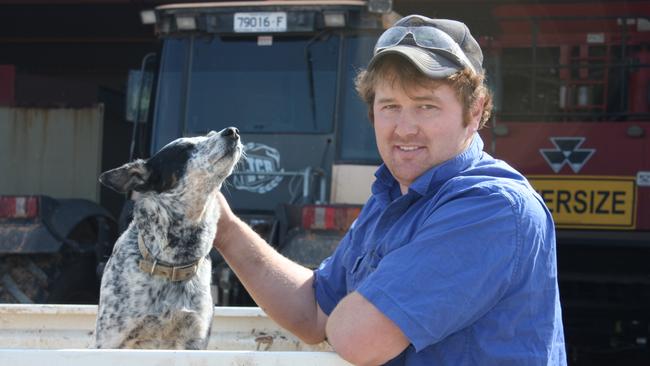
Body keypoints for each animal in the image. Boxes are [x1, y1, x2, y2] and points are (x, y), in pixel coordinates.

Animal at [93, 128, 240, 348]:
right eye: (185, 149)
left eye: (210, 134)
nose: (232, 131)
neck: (173, 264)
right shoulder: (109, 338)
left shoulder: (195, 337)